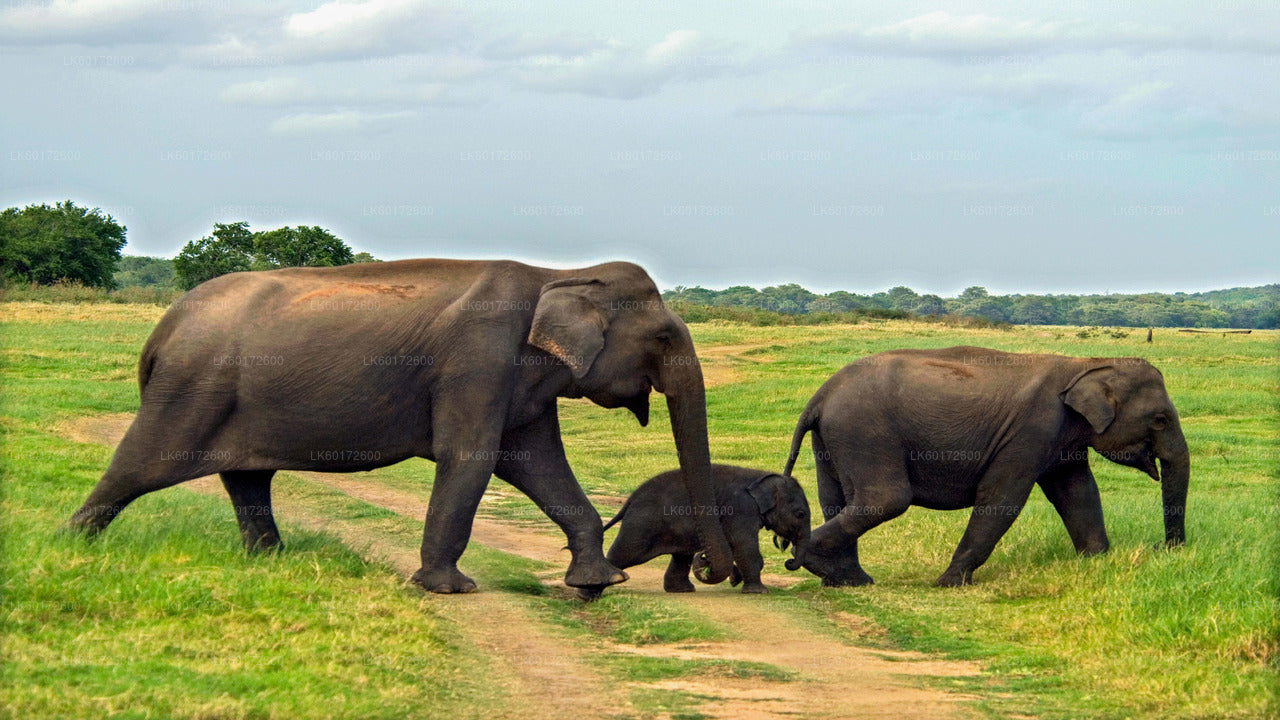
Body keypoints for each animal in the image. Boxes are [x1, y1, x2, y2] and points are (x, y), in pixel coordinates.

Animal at [66, 259, 736, 594]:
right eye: (662, 337)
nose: (713, 571)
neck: (562, 270)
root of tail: (161, 330)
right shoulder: (479, 359)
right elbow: (471, 457)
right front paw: (450, 589)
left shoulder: (519, 379)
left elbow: (536, 463)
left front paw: (598, 584)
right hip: (191, 390)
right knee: (139, 466)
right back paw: (69, 545)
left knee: (247, 478)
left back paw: (272, 561)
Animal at [583, 464, 810, 598]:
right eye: (800, 514)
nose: (789, 561)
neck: (760, 477)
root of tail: (630, 499)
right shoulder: (740, 509)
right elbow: (743, 544)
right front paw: (759, 592)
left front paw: (735, 579)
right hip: (642, 524)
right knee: (626, 552)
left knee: (681, 555)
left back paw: (681, 590)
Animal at [783, 346, 1189, 587]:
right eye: (1160, 420)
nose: (1163, 547)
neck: (1086, 365)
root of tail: (820, 396)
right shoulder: (1031, 430)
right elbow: (1003, 497)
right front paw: (948, 583)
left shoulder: (1062, 439)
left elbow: (1077, 492)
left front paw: (1096, 562)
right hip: (864, 431)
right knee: (885, 500)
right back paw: (812, 561)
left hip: (833, 438)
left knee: (837, 499)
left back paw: (846, 579)